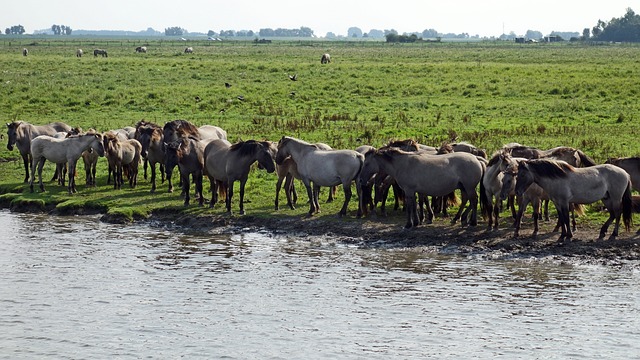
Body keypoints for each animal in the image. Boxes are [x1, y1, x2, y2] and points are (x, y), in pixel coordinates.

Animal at [358, 148, 488, 228]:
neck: (402, 164)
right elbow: (416, 205)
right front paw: (416, 222)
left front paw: (409, 224)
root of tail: (476, 158)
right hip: (464, 187)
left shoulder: (409, 191)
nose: (361, 180)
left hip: (469, 187)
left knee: (474, 200)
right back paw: (460, 218)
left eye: (367, 164)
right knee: (468, 200)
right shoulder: (414, 191)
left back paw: (473, 222)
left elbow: (410, 207)